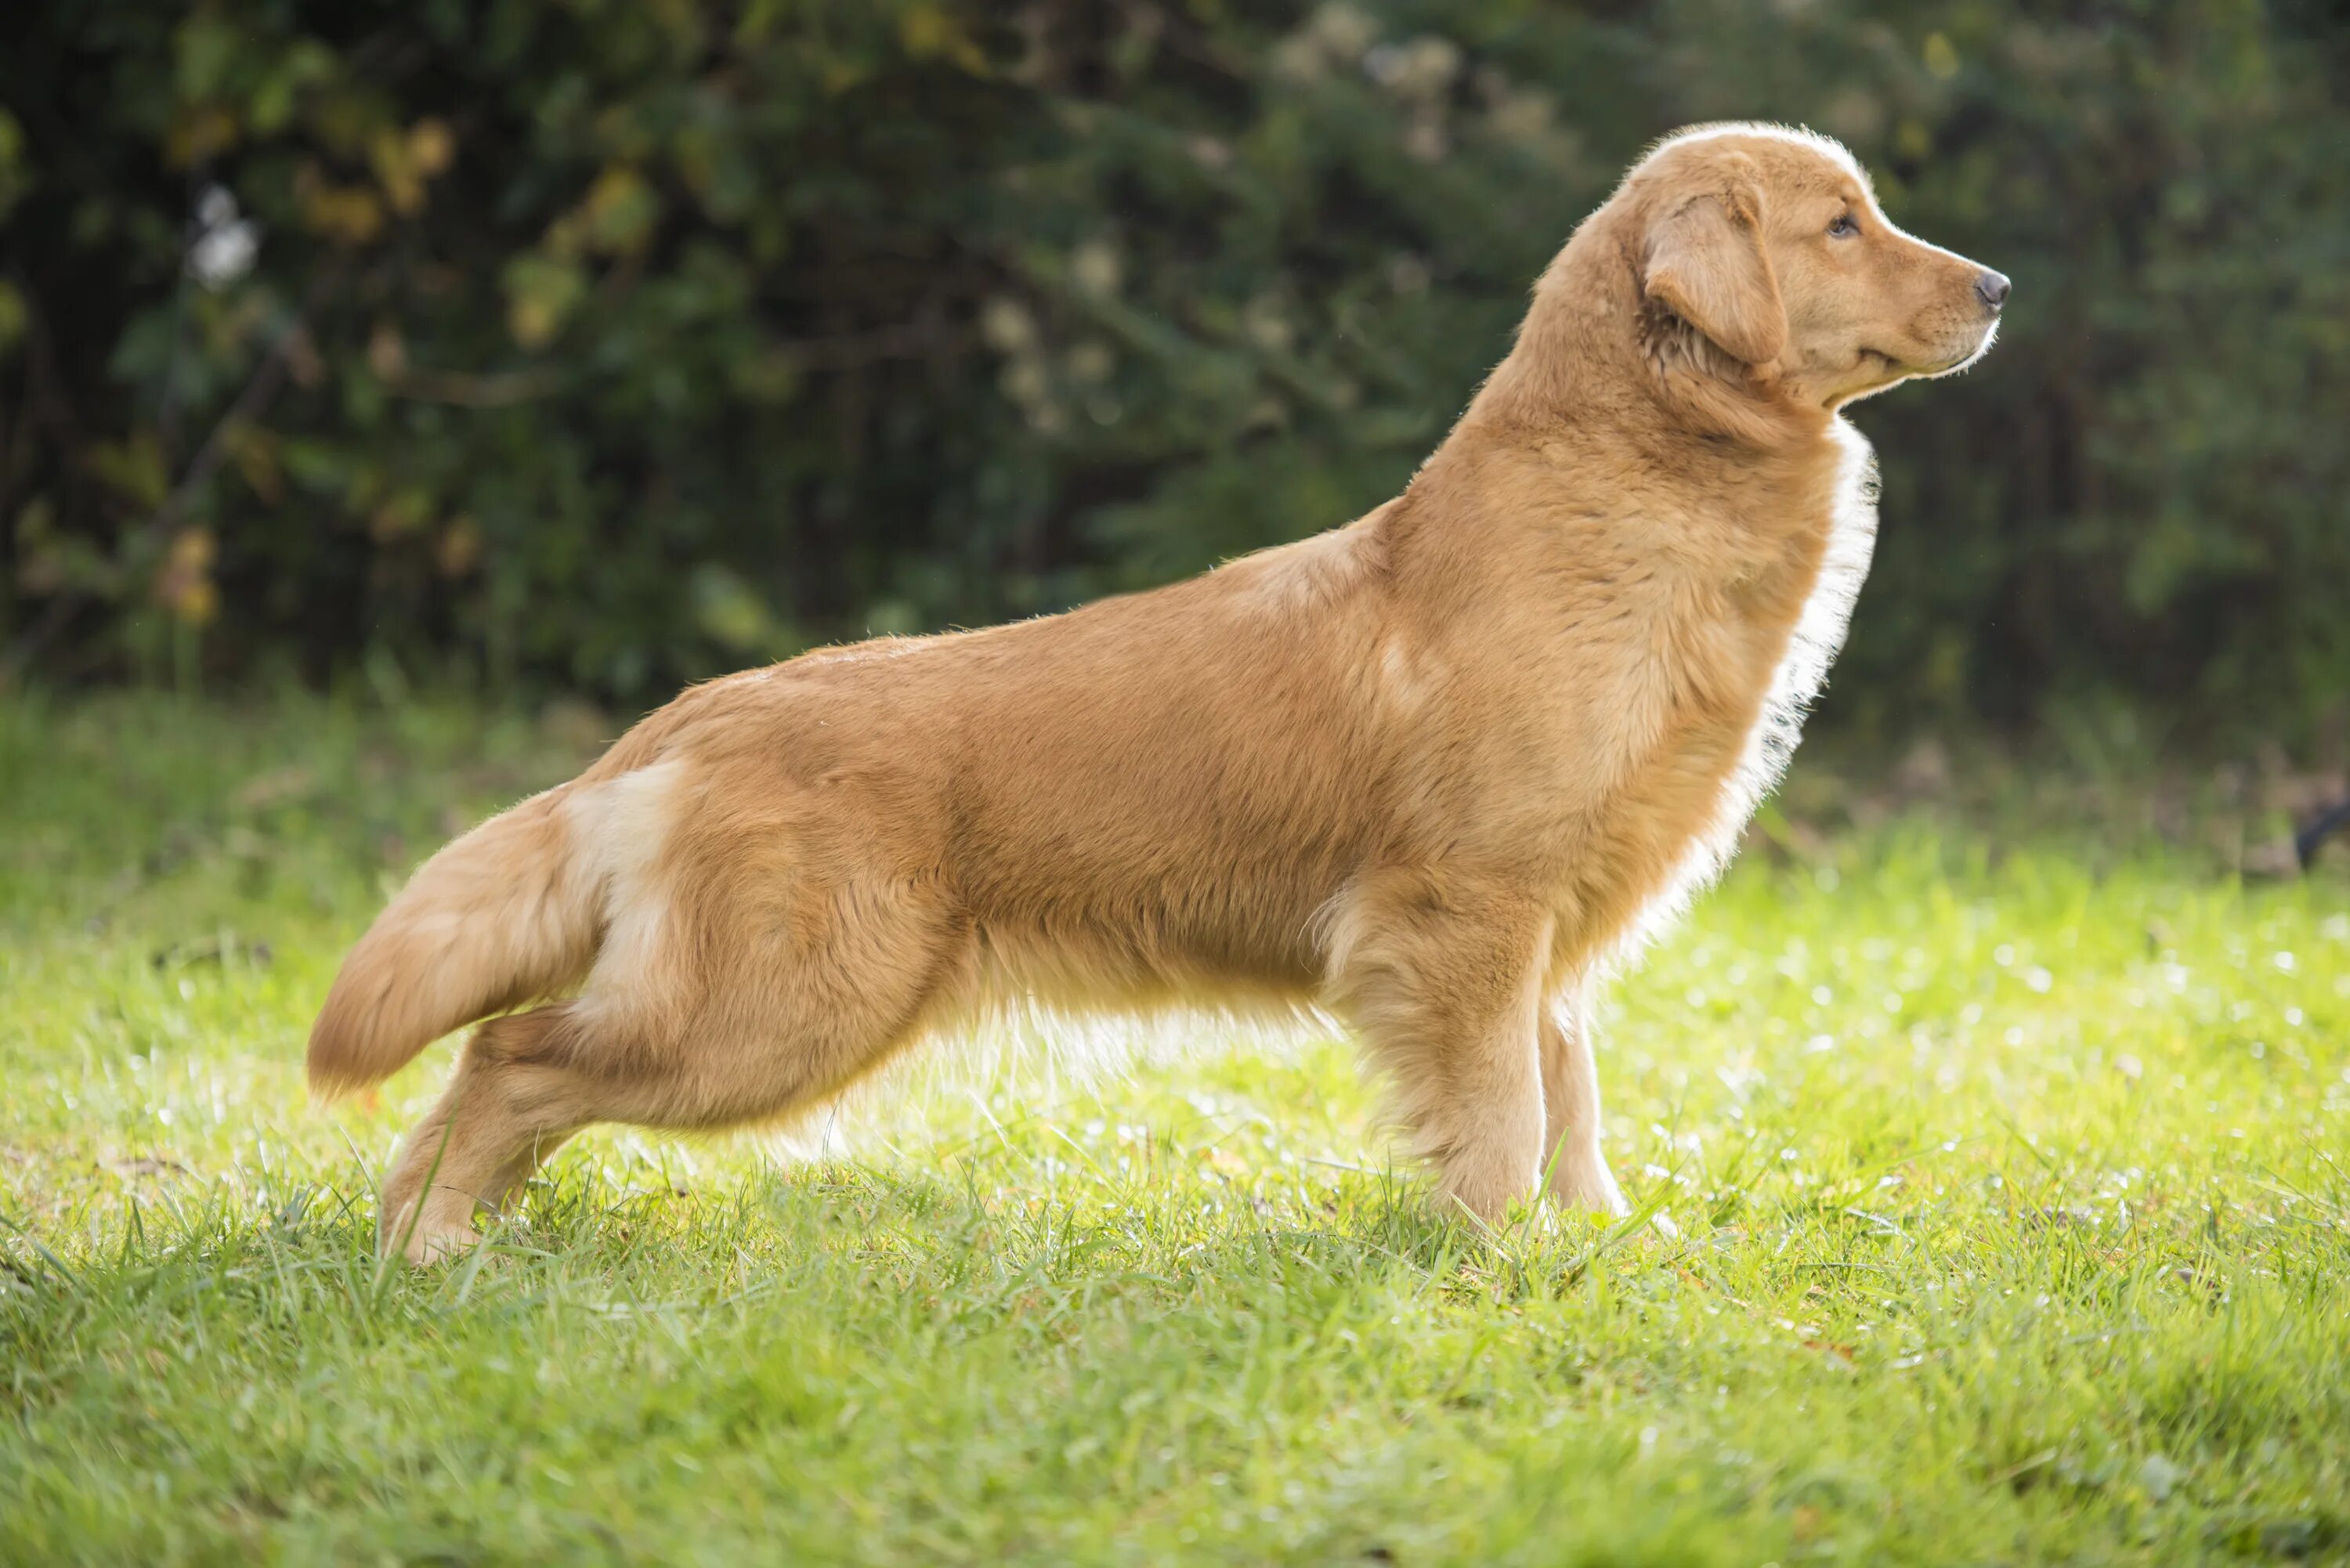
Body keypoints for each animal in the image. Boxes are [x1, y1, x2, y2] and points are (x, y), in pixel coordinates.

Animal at [308, 128, 2002, 1269]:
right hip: (780, 1008)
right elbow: (1504, 1111)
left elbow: (1569, 1095)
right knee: (509, 1053)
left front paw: (1591, 1243)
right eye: (1843, 224)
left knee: (501, 1068)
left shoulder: (1549, 932)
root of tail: (679, 721)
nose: (1996, 284)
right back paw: (436, 1241)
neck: (1628, 490)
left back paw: (432, 1234)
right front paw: (1502, 1255)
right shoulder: (1465, 912)